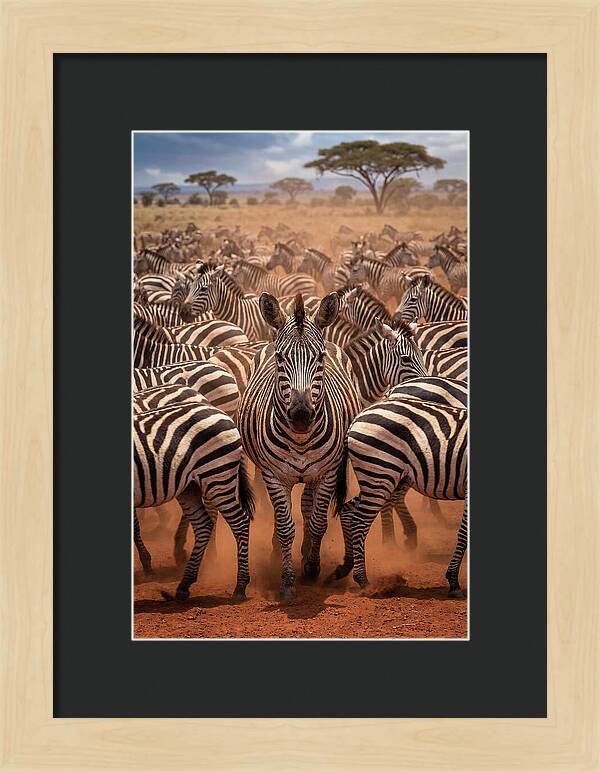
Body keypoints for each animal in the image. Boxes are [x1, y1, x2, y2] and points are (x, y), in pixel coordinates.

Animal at [133, 398, 254, 600]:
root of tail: (221, 413)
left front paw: (147, 564)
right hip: (190, 487)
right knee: (203, 525)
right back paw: (184, 584)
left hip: (216, 476)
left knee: (240, 522)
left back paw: (240, 586)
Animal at [238, 292, 361, 600]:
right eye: (280, 358)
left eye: (320, 358)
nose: (301, 415)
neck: (301, 439)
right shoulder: (273, 475)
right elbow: (285, 527)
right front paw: (287, 581)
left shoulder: (328, 473)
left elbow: (318, 521)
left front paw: (312, 567)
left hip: (316, 474)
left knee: (307, 504)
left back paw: (306, 553)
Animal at [335, 398, 468, 597]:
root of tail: (358, 417)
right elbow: (464, 533)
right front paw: (453, 582)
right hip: (380, 473)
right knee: (359, 521)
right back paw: (364, 582)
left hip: (379, 478)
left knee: (347, 510)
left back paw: (346, 566)